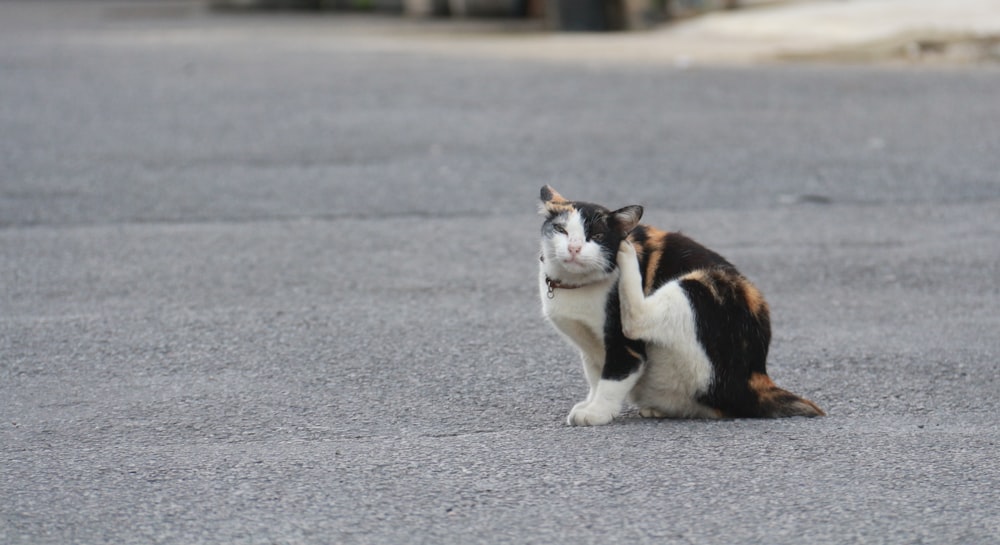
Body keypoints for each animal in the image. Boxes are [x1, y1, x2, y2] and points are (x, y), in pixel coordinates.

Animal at [536, 186, 824, 424]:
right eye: (562, 230)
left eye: (595, 236)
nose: (574, 248)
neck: (574, 287)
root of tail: (757, 376)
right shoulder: (592, 349)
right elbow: (596, 376)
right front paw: (590, 402)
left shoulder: (623, 347)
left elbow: (613, 377)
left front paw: (596, 412)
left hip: (702, 284)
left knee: (638, 319)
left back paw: (627, 252)